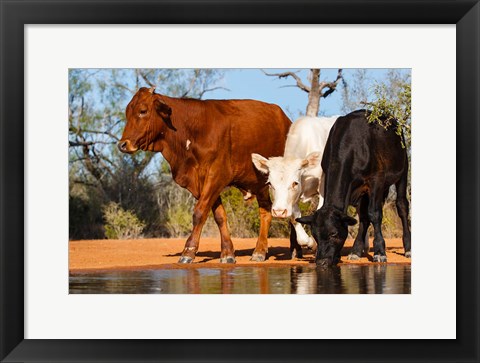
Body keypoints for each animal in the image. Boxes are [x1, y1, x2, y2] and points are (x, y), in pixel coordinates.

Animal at [118, 88, 290, 264]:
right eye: (127, 112)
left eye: (143, 111)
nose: (123, 144)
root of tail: (285, 119)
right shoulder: (200, 183)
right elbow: (219, 215)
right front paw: (227, 253)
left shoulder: (216, 176)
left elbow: (199, 213)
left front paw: (188, 252)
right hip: (260, 184)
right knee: (266, 211)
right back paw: (259, 251)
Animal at [251, 116, 338, 253]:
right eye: (270, 183)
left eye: (294, 183)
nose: (279, 211)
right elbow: (294, 218)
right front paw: (310, 242)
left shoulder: (323, 188)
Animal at [298, 110, 410, 268]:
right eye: (315, 235)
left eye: (333, 233)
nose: (321, 262)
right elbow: (364, 216)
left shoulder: (376, 179)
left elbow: (374, 214)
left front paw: (379, 252)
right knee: (363, 217)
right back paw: (356, 251)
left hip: (403, 170)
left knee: (401, 206)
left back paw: (408, 248)